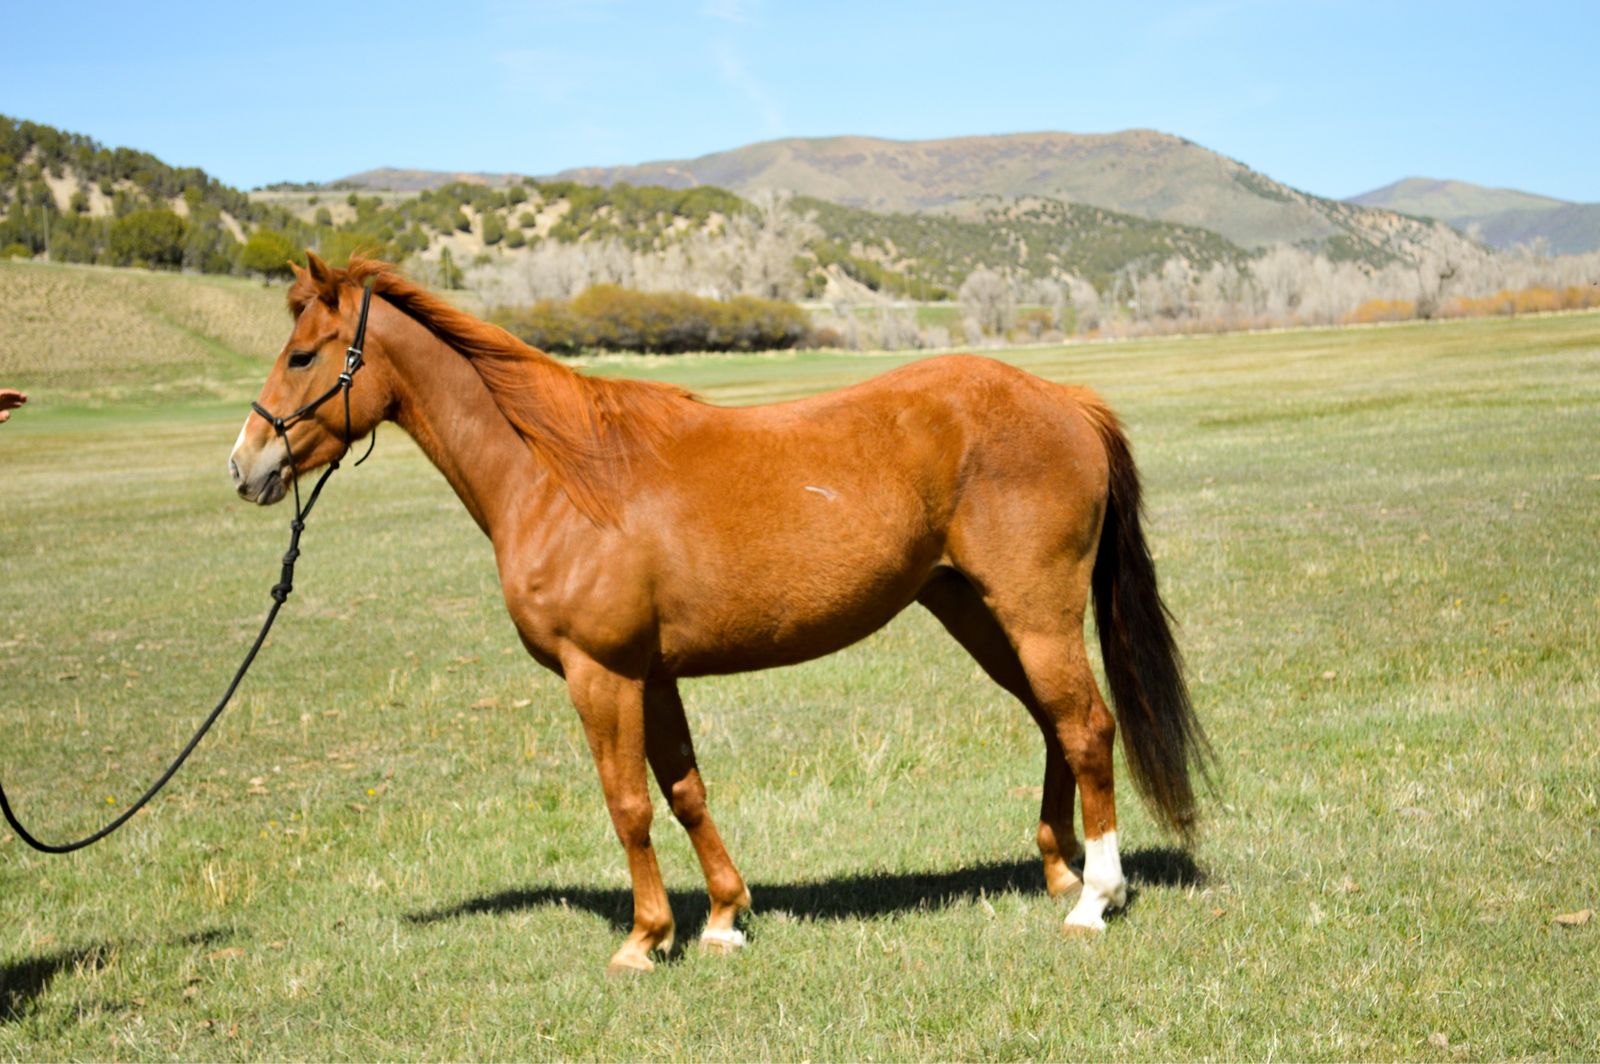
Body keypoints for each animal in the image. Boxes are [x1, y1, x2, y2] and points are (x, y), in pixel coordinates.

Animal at [230, 252, 1208, 973]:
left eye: (304, 355)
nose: (245, 466)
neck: (560, 475)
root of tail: (1063, 399)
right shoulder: (652, 674)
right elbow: (686, 791)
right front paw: (724, 918)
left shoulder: (601, 674)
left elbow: (627, 802)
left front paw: (644, 937)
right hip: (977, 612)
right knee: (1054, 723)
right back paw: (1059, 870)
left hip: (1033, 613)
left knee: (1085, 726)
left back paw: (1096, 898)